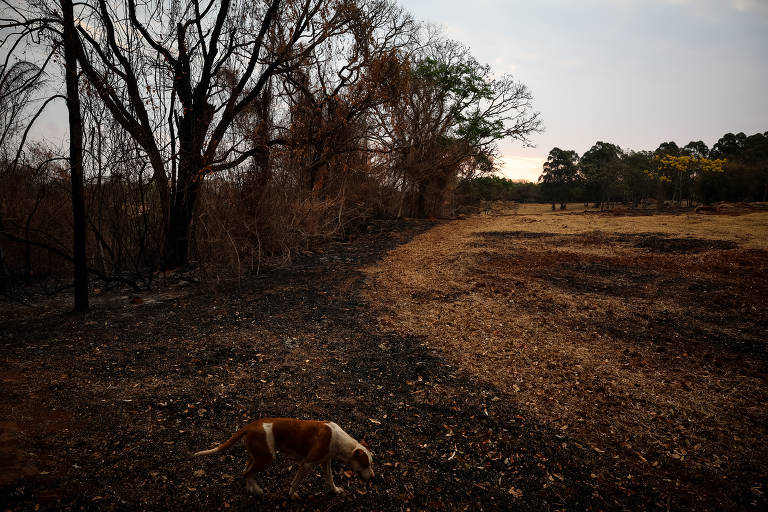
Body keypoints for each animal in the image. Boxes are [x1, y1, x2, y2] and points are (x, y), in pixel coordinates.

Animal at [195, 418, 376, 498]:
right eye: (366, 464)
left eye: (370, 464)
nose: (374, 477)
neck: (338, 439)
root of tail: (250, 426)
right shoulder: (307, 464)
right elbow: (295, 483)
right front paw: (291, 494)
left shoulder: (326, 462)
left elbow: (330, 479)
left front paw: (335, 490)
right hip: (266, 459)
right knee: (247, 473)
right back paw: (257, 490)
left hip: (257, 456)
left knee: (247, 470)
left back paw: (251, 488)